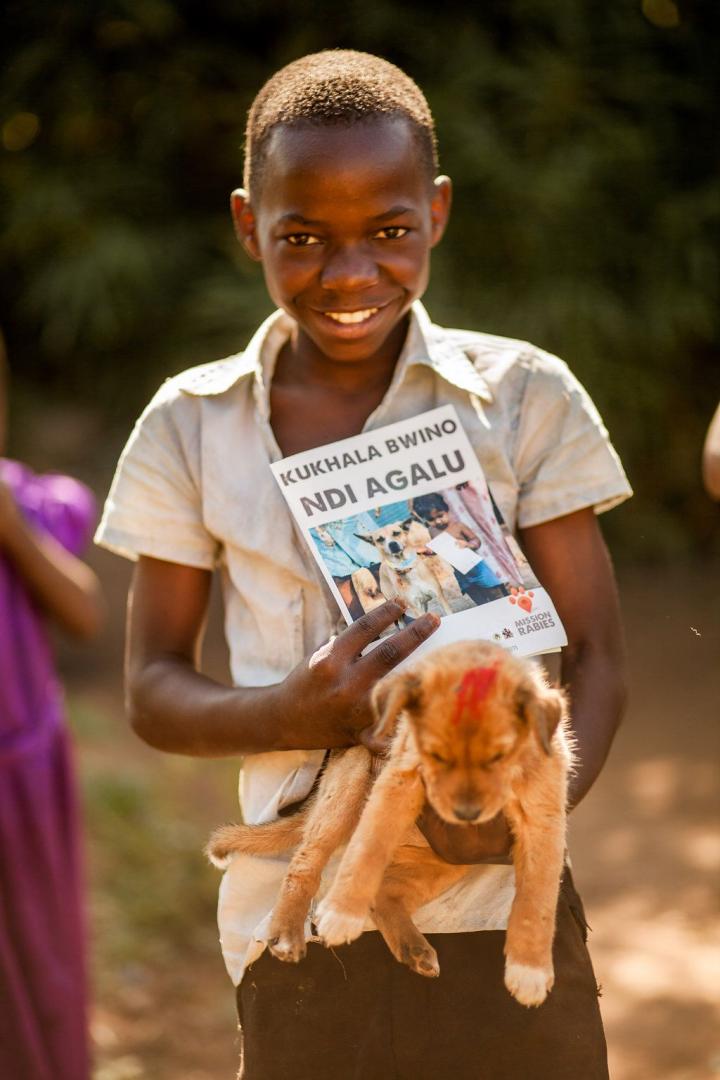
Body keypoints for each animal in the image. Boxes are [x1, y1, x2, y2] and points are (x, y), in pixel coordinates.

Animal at [205, 639, 569, 1002]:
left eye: (499, 756)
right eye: (434, 754)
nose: (466, 815)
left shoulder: (544, 820)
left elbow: (537, 900)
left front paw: (530, 971)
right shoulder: (397, 782)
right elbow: (368, 848)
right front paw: (341, 914)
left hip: (447, 862)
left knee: (383, 895)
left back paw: (413, 948)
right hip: (347, 793)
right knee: (304, 864)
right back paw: (287, 932)